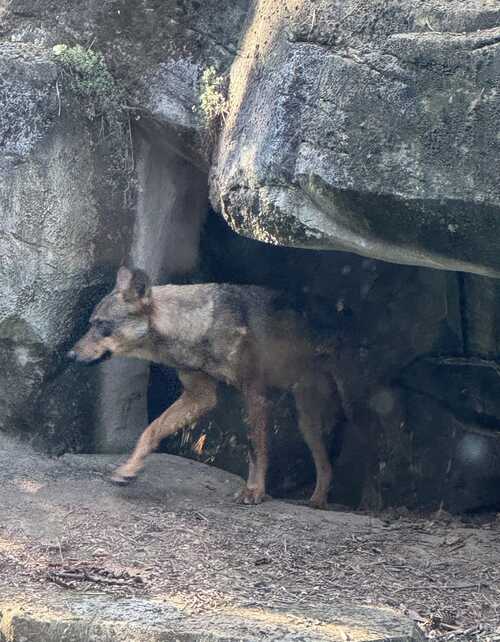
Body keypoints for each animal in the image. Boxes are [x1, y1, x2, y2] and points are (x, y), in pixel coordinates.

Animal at [69, 264, 344, 504]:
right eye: (90, 323)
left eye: (101, 325)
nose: (70, 355)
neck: (198, 328)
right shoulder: (200, 396)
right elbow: (151, 430)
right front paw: (128, 470)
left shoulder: (255, 392)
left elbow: (255, 447)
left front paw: (254, 491)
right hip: (307, 421)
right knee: (327, 465)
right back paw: (317, 501)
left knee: (327, 462)